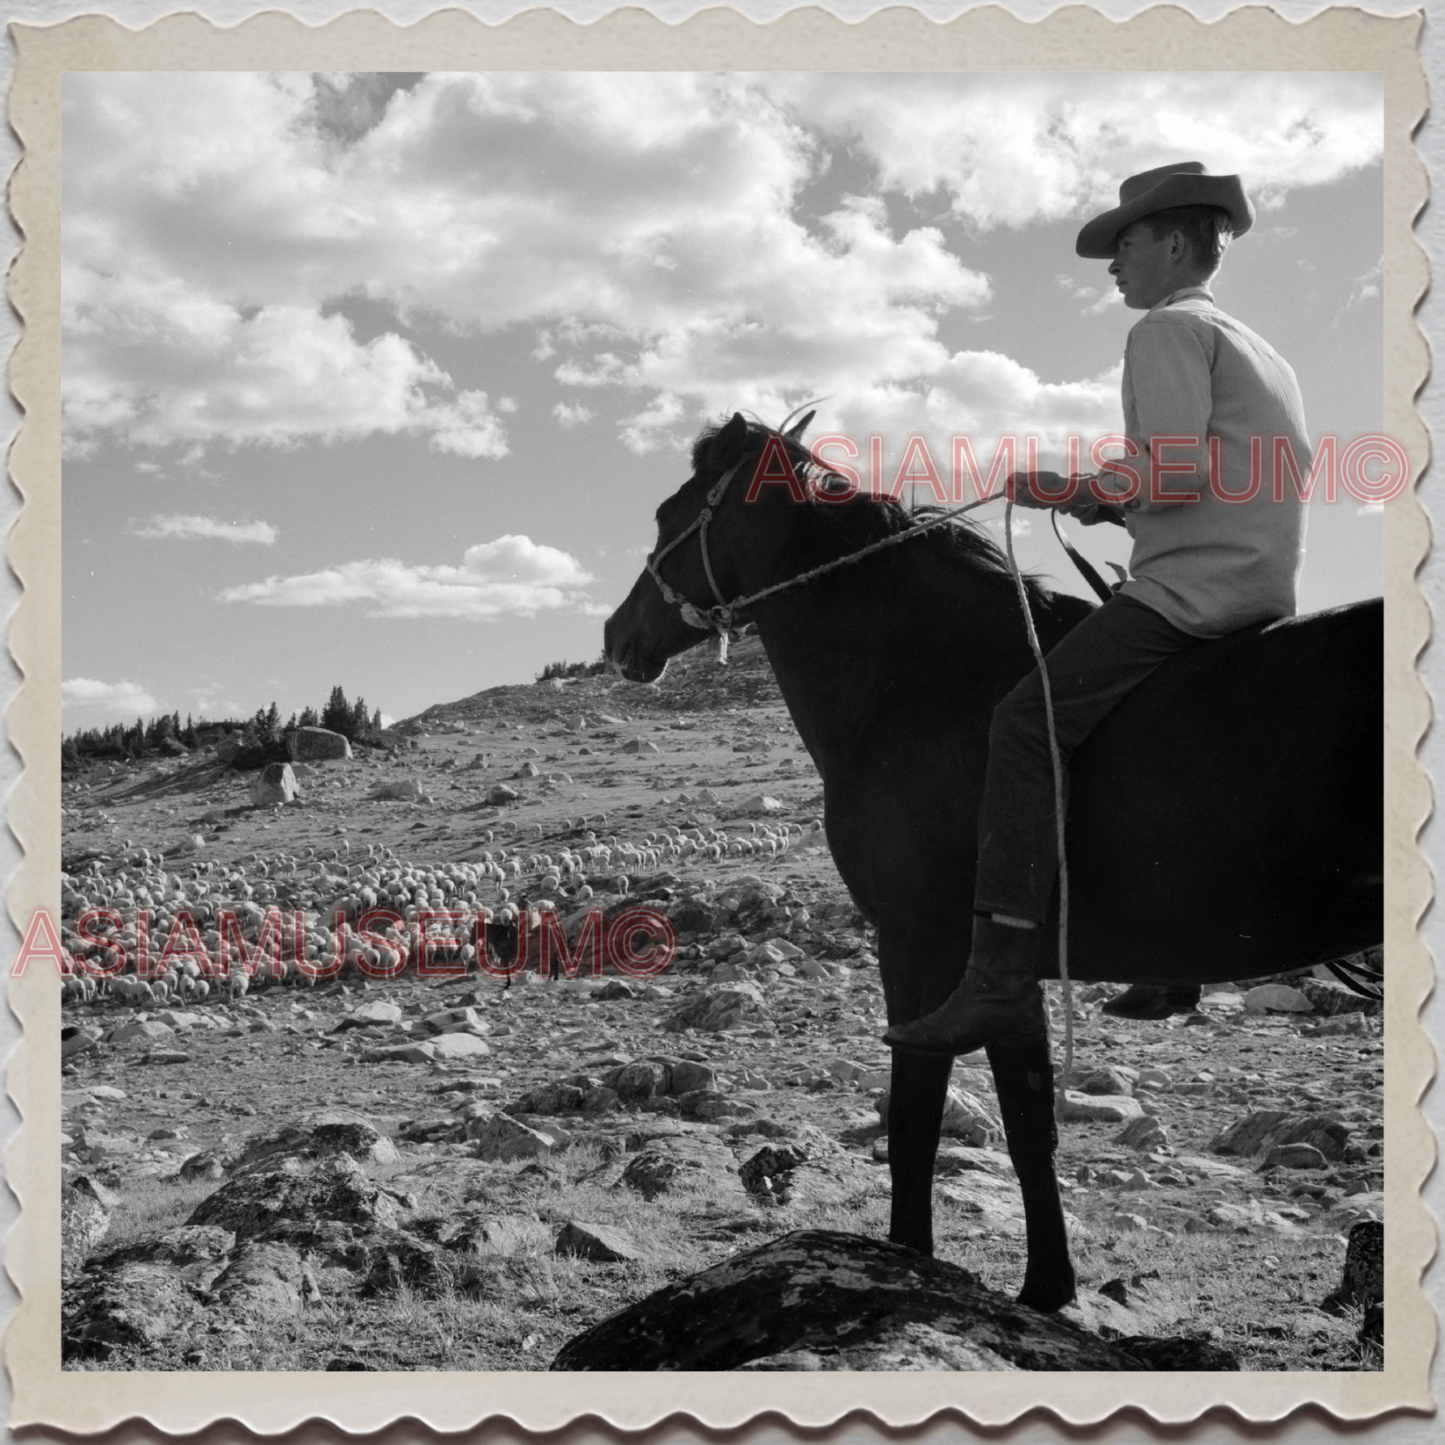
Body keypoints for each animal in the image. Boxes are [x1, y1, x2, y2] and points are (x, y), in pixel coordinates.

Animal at [604, 413, 1381, 1317]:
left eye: (669, 514)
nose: (616, 637)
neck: (922, 687)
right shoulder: (1006, 979)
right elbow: (1027, 1126)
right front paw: (1047, 1285)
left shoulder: (920, 948)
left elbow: (915, 1113)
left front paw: (906, 1255)